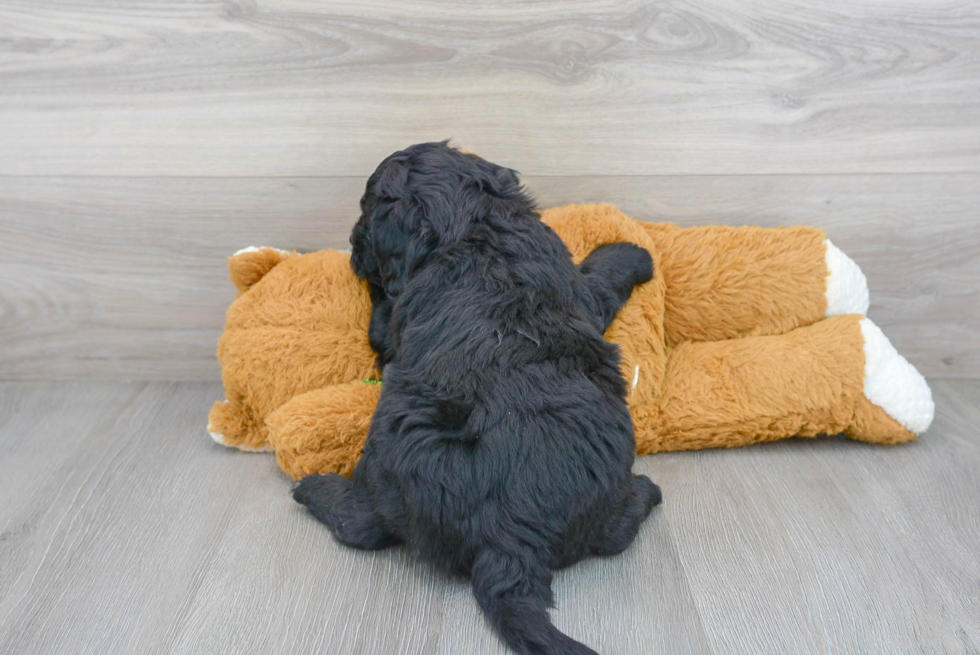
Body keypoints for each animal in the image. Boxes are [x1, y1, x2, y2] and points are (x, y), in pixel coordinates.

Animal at [290, 144, 660, 655]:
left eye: (364, 211)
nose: (350, 247)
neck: (472, 226)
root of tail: (510, 542)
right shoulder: (578, 286)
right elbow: (598, 278)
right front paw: (634, 252)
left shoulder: (394, 322)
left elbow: (380, 320)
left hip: (384, 463)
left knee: (363, 524)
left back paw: (311, 487)